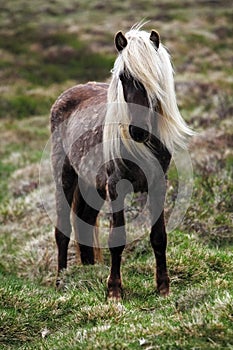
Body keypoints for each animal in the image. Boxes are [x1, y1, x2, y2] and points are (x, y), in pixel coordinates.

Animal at [50, 24, 193, 300]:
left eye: (154, 79)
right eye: (123, 77)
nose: (137, 131)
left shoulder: (159, 185)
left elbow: (159, 237)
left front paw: (163, 287)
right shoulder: (116, 186)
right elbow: (117, 238)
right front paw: (114, 290)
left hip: (91, 185)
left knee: (85, 222)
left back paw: (88, 273)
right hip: (65, 177)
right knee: (63, 231)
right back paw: (61, 282)